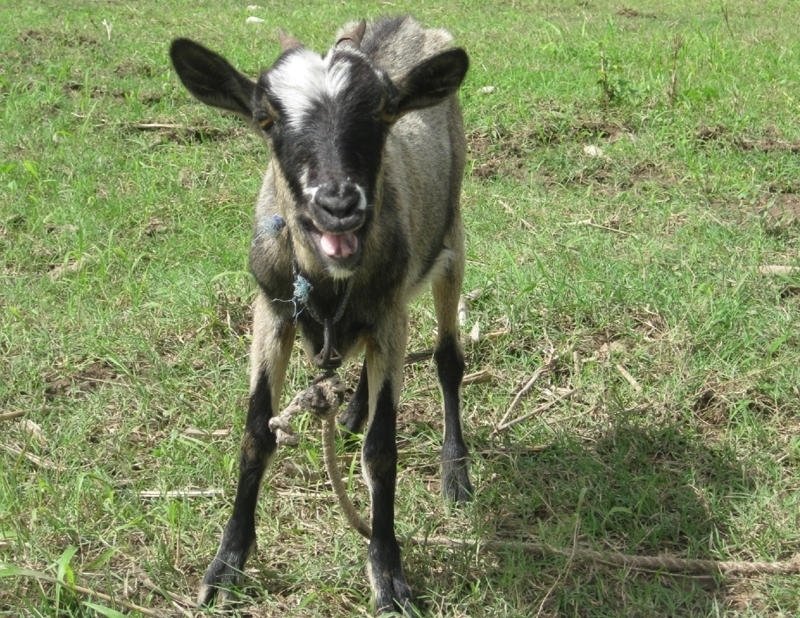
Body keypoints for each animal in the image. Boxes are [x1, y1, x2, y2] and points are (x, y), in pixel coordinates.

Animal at [170, 16, 472, 614]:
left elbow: (382, 451)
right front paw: (225, 565)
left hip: (451, 241)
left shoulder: (390, 310)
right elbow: (256, 434)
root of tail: (404, 22)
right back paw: (351, 413)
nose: (339, 206)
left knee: (448, 358)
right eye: (265, 117)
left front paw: (388, 576)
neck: (331, 289)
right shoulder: (271, 312)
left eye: (384, 112)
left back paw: (455, 471)